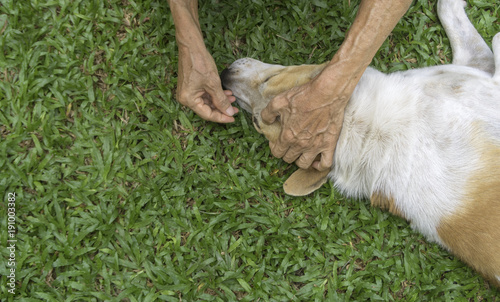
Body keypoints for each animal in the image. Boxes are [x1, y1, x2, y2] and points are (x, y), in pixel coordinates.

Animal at [221, 0, 500, 288]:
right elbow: (492, 37)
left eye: (270, 78)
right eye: (256, 121)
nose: (223, 75)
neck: (364, 130)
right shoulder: (485, 83)